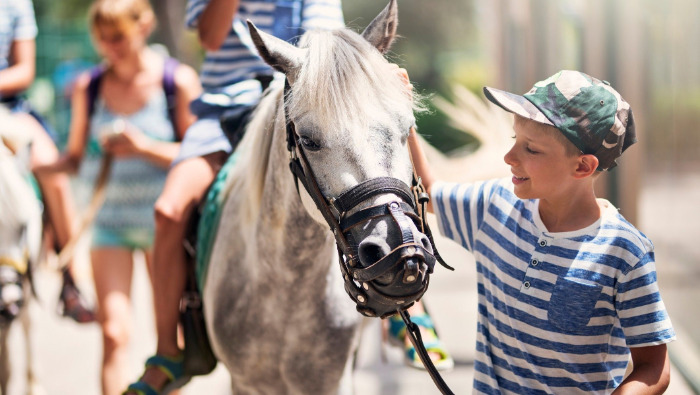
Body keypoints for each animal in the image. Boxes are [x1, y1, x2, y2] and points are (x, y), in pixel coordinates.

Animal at [200, 1, 438, 394]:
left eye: (407, 128)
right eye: (309, 140)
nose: (396, 249)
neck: (285, 290)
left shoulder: (332, 381)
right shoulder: (244, 382)